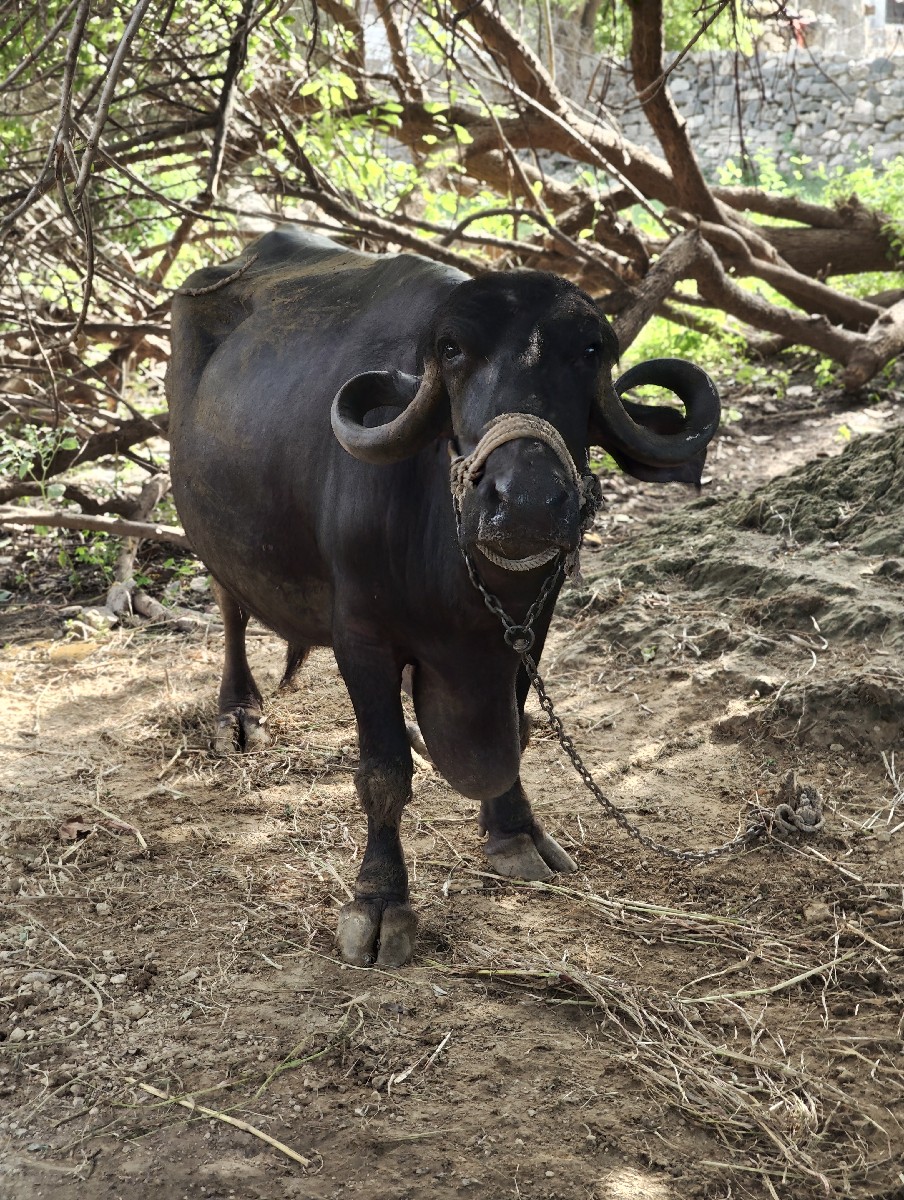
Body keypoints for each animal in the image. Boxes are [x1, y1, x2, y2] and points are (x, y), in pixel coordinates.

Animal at [167, 227, 719, 968]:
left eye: (590, 351)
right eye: (453, 351)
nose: (527, 503)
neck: (460, 587)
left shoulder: (530, 628)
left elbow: (515, 731)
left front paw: (515, 833)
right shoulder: (362, 639)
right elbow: (383, 773)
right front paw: (379, 902)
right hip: (205, 527)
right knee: (229, 604)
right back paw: (237, 711)